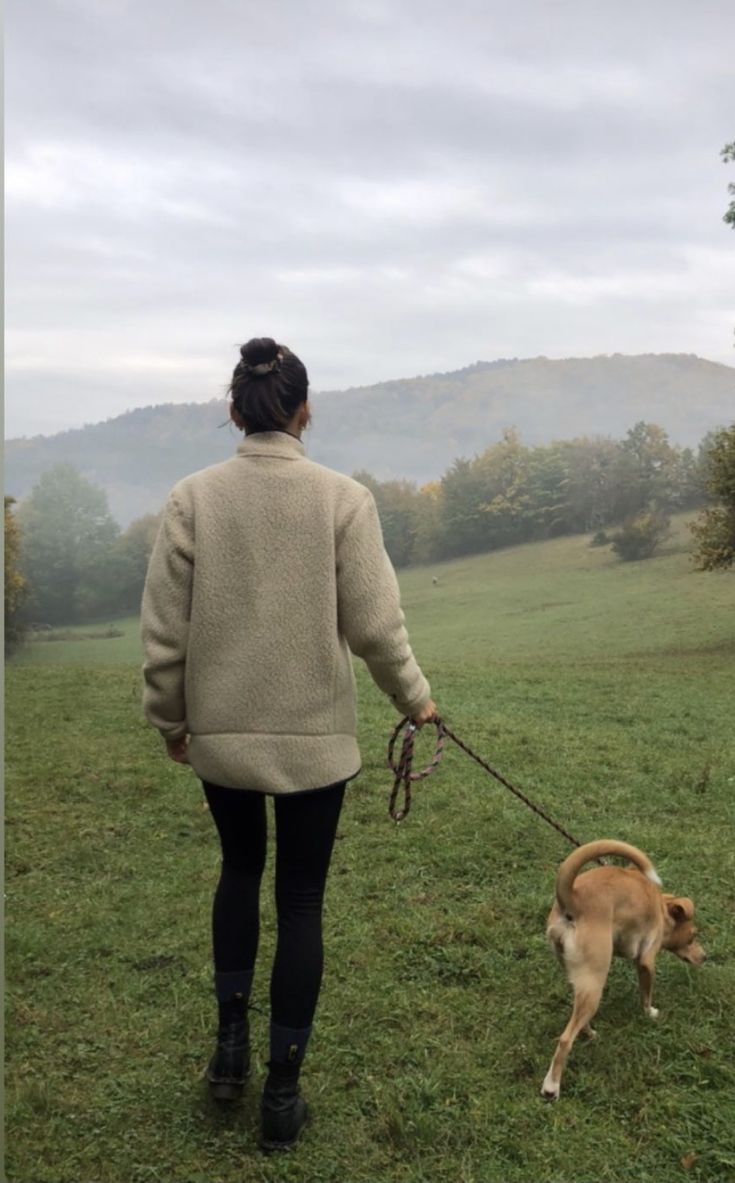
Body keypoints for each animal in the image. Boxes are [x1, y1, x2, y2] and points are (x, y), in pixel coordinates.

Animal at [539, 842, 705, 1097]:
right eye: (693, 937)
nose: (705, 957)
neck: (660, 907)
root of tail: (572, 898)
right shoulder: (647, 961)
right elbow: (646, 994)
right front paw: (650, 1013)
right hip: (595, 980)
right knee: (566, 1039)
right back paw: (552, 1086)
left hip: (579, 978)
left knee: (578, 1015)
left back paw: (589, 1033)